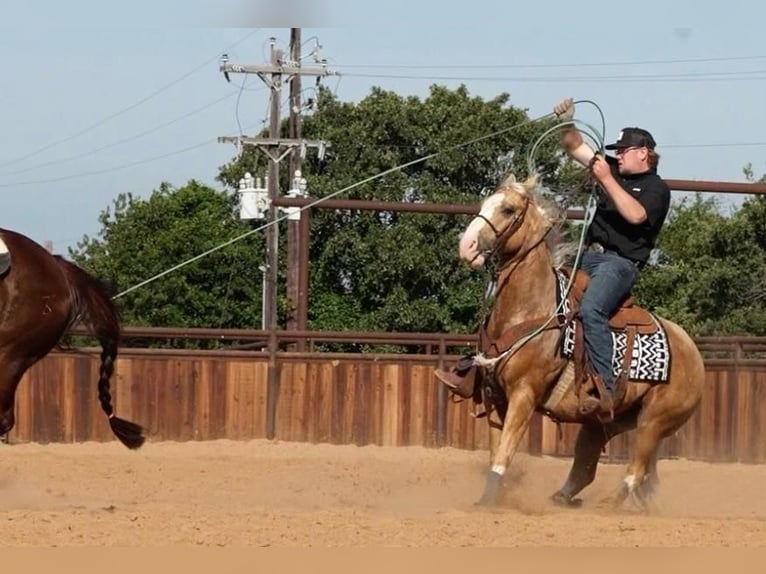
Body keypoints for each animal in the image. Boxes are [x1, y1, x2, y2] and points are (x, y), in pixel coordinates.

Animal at [450, 173, 708, 510]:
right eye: (484, 203)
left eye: (508, 209)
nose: (467, 246)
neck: (529, 309)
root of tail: (693, 353)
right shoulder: (495, 397)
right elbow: (497, 450)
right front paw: (490, 499)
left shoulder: (524, 394)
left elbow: (505, 451)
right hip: (605, 422)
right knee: (588, 468)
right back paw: (562, 499)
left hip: (654, 421)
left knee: (635, 471)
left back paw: (608, 505)